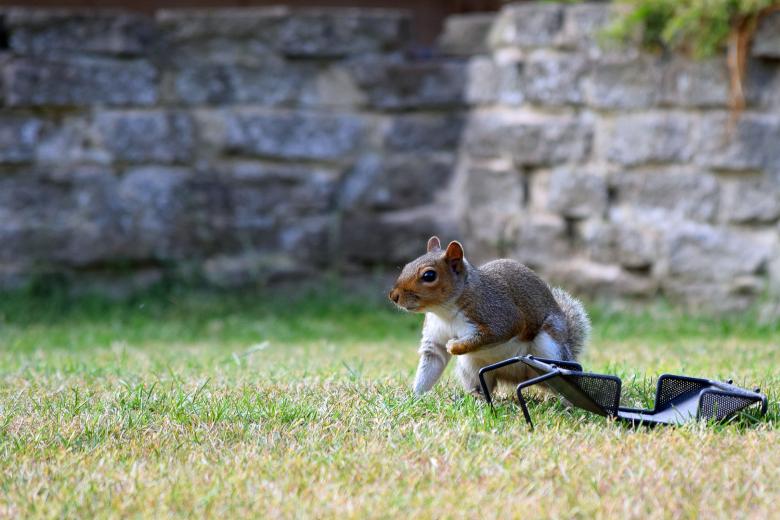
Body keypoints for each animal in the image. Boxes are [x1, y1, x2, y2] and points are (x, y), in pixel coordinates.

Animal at [389, 236, 590, 397]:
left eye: (429, 275)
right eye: (406, 266)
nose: (393, 296)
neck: (444, 311)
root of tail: (514, 377)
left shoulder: (501, 315)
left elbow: (493, 334)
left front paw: (455, 346)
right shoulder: (434, 335)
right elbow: (432, 361)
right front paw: (415, 396)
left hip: (549, 347)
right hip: (471, 368)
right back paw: (476, 397)